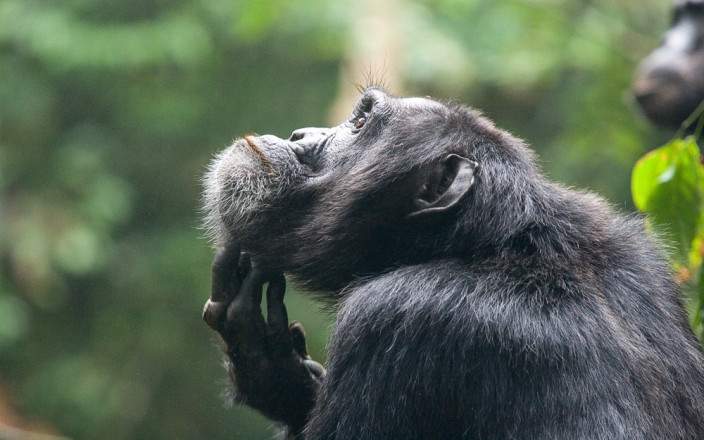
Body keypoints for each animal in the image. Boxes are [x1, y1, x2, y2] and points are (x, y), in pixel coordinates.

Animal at [202, 88, 704, 439]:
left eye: (361, 121)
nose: (301, 135)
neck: (484, 245)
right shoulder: (640, 257)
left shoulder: (394, 316)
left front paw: (267, 372)